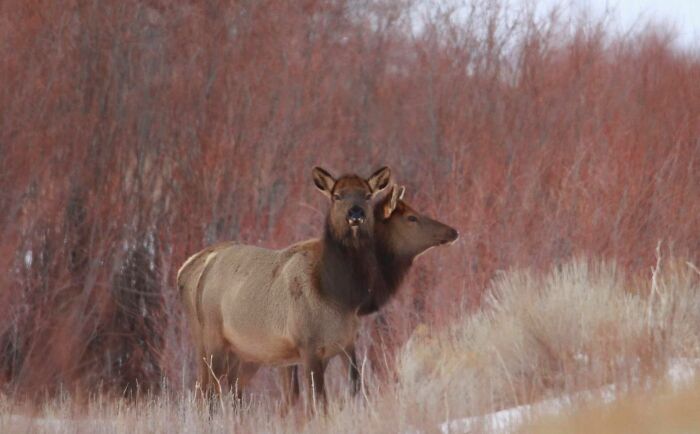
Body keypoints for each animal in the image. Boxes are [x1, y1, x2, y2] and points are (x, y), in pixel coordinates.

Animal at [177, 166, 392, 409]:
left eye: (367, 195)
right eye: (337, 196)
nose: (355, 214)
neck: (338, 300)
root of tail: (201, 266)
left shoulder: (346, 343)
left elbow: (354, 390)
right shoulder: (308, 343)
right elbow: (318, 401)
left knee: (224, 389)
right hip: (212, 338)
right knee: (208, 392)